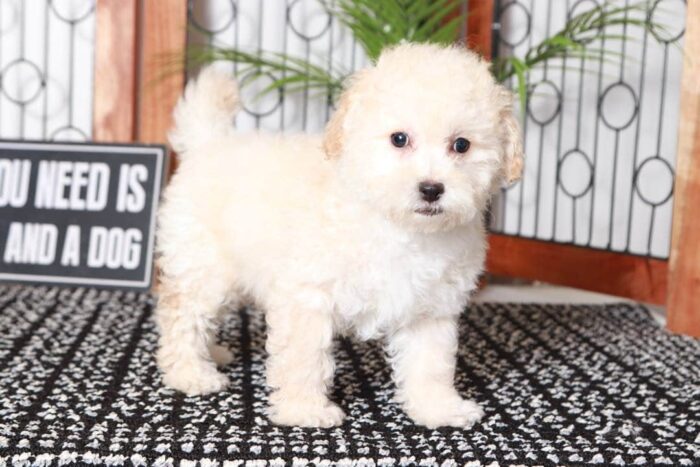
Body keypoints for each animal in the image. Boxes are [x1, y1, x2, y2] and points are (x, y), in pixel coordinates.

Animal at [156, 42, 524, 430]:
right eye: (399, 139)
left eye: (462, 145)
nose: (431, 189)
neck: (399, 228)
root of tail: (210, 142)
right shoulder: (307, 296)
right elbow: (304, 358)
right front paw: (304, 409)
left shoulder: (432, 308)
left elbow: (432, 364)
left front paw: (438, 408)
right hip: (203, 267)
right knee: (182, 316)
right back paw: (191, 372)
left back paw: (212, 353)